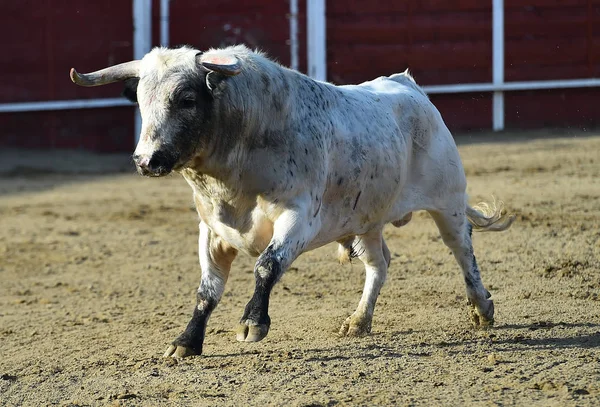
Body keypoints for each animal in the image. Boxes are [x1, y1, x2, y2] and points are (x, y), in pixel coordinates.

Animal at [69, 43, 510, 358]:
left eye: (187, 99)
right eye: (142, 100)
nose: (147, 160)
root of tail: (408, 85)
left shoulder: (299, 216)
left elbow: (267, 265)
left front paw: (252, 323)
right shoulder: (212, 229)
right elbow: (207, 289)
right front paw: (187, 342)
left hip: (448, 201)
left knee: (462, 249)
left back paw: (481, 307)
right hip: (365, 219)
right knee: (378, 263)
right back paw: (358, 320)